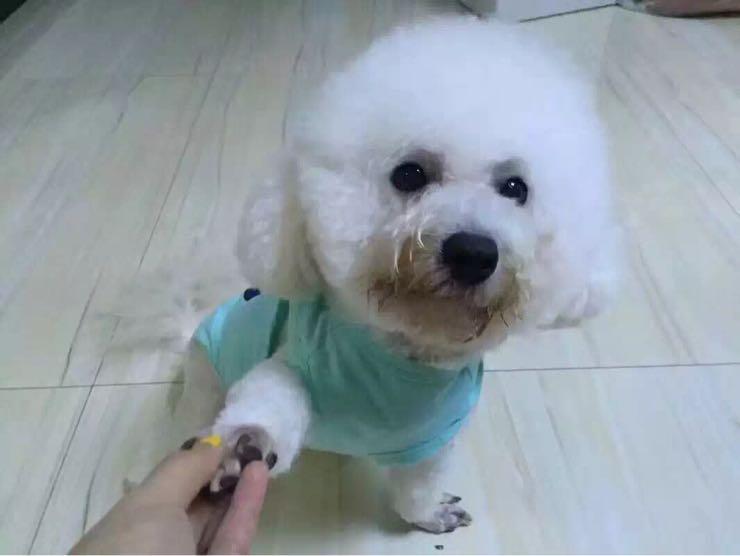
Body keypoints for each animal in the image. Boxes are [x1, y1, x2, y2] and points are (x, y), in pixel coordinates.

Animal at [121, 16, 618, 534]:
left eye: (516, 188)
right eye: (409, 174)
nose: (473, 252)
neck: (402, 358)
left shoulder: (436, 440)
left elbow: (417, 487)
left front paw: (428, 515)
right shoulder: (294, 363)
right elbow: (273, 395)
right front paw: (248, 443)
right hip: (204, 385)